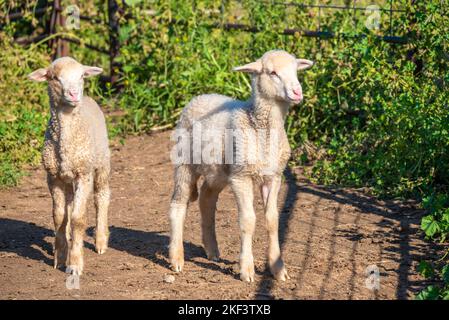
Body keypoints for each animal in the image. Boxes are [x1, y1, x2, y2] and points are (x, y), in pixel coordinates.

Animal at [167, 48, 312, 282]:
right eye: (272, 73)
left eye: (296, 70)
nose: (297, 92)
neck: (258, 124)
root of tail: (200, 96)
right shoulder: (241, 177)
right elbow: (248, 221)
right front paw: (247, 269)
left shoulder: (274, 176)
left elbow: (272, 220)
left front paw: (278, 268)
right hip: (185, 164)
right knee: (178, 205)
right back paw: (177, 259)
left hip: (218, 172)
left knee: (207, 199)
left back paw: (212, 250)